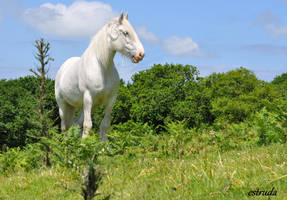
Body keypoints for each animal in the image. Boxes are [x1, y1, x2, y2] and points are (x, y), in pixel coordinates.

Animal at [55, 12, 145, 141]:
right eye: (125, 32)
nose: (140, 54)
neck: (102, 68)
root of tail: (63, 68)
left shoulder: (111, 100)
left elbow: (105, 125)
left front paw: (103, 146)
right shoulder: (88, 98)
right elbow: (87, 125)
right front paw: (84, 145)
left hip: (80, 106)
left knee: (74, 124)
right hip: (63, 105)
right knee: (64, 128)